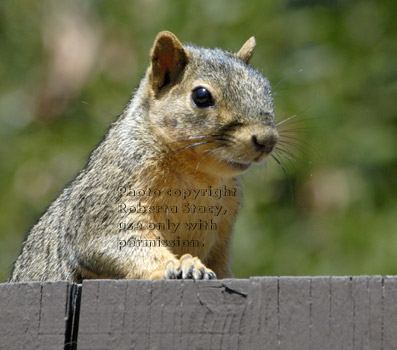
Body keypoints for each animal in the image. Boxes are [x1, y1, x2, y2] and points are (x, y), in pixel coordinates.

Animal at [7, 30, 276, 282]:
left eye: (266, 88)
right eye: (201, 96)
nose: (267, 140)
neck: (199, 174)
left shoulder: (223, 230)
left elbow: (220, 266)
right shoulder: (113, 193)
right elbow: (111, 239)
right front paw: (182, 265)